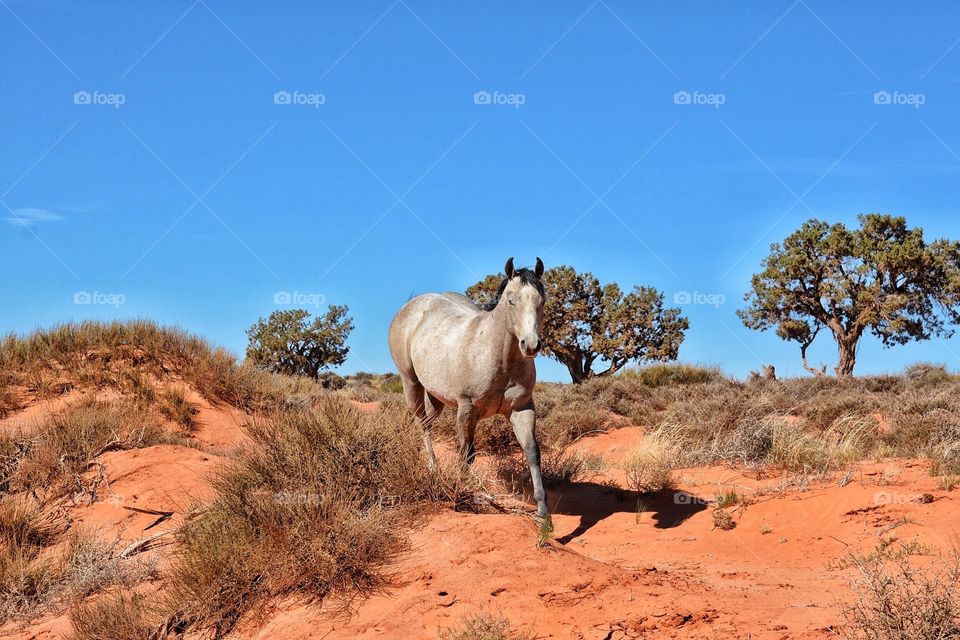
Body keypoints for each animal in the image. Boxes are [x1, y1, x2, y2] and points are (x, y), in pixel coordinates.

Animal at [388, 258, 552, 528]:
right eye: (511, 300)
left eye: (542, 300)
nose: (530, 345)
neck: (499, 358)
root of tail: (411, 304)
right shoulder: (467, 410)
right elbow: (466, 456)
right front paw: (460, 498)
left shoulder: (523, 409)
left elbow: (532, 453)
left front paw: (544, 516)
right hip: (410, 383)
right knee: (421, 424)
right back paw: (433, 469)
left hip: (436, 397)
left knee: (427, 422)